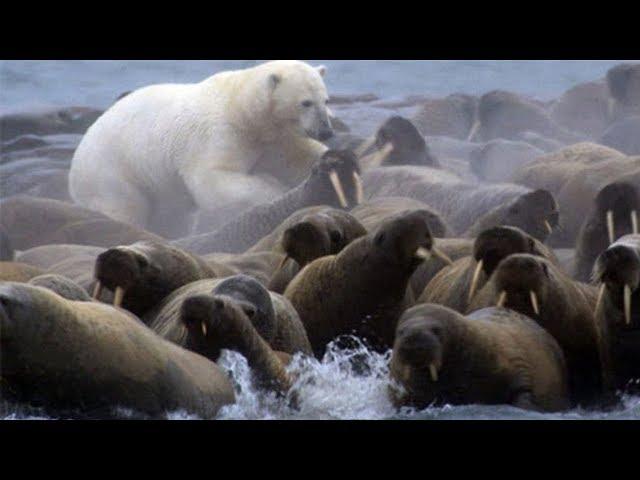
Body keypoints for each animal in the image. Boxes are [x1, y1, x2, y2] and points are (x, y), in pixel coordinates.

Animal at [67, 61, 332, 237]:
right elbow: (212, 180)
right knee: (125, 207)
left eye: (325, 100)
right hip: (111, 173)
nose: (327, 131)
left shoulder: (274, 139)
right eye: (305, 102)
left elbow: (295, 158)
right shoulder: (218, 134)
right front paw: (273, 189)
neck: (240, 106)